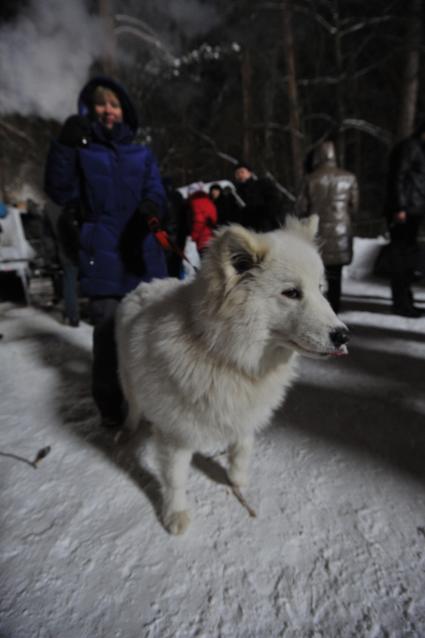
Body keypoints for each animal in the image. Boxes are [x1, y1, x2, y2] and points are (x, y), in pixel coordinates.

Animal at [116, 218, 348, 536]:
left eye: (321, 289)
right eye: (291, 293)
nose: (343, 335)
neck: (224, 355)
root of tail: (145, 284)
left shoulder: (244, 413)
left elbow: (242, 448)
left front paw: (237, 479)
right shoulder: (176, 435)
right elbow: (176, 479)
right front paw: (175, 515)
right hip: (128, 382)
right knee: (133, 407)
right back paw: (127, 430)